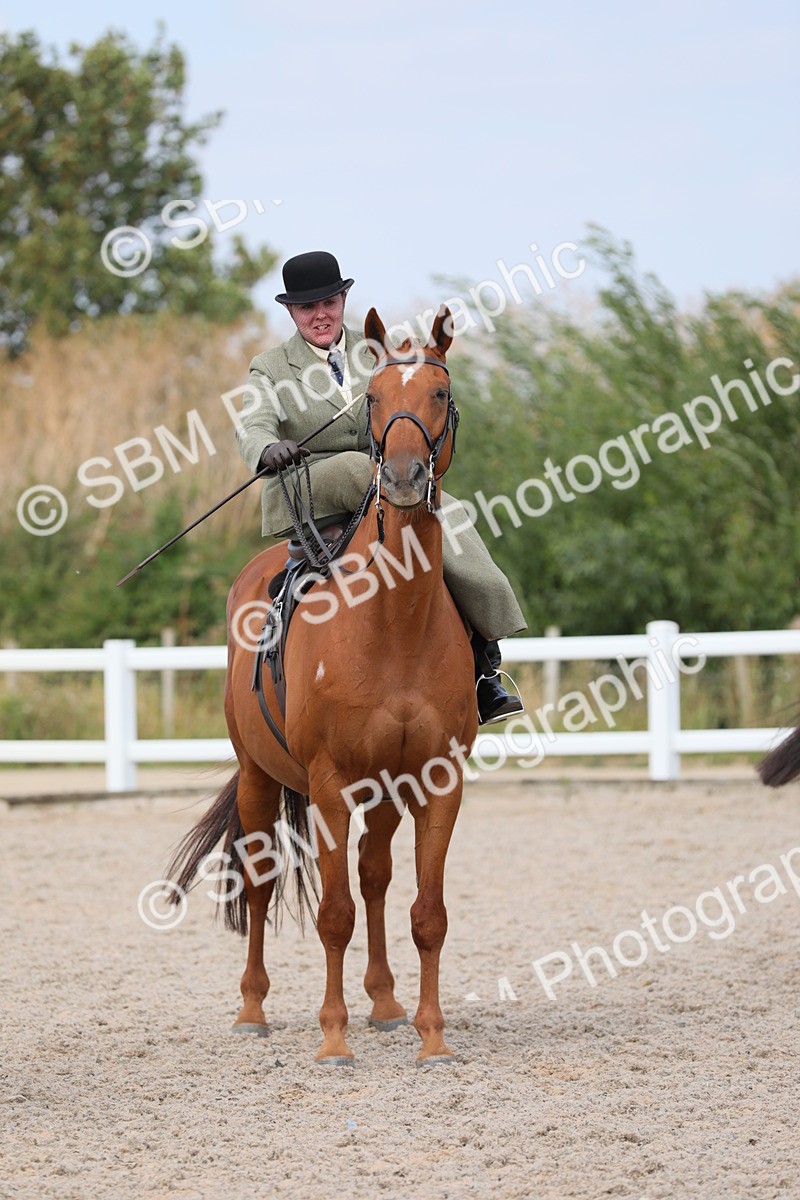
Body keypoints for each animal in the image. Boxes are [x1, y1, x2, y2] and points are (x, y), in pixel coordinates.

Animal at [168, 306, 479, 1065]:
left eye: (439, 393)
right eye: (374, 398)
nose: (403, 478)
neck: (393, 621)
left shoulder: (436, 780)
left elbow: (427, 913)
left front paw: (432, 1036)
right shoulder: (331, 781)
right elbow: (333, 914)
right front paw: (333, 1038)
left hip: (385, 790)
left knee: (374, 877)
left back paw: (387, 1003)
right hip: (259, 777)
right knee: (261, 881)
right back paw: (253, 1009)